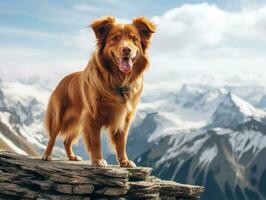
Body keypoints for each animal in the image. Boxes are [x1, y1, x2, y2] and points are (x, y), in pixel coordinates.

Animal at [41, 16, 156, 167]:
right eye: (115, 38)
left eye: (134, 39)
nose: (126, 49)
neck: (117, 81)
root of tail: (62, 80)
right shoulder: (92, 116)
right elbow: (96, 141)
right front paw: (97, 160)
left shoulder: (124, 118)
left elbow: (121, 142)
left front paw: (124, 161)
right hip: (59, 116)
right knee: (53, 137)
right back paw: (47, 155)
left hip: (77, 122)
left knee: (66, 141)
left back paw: (72, 157)